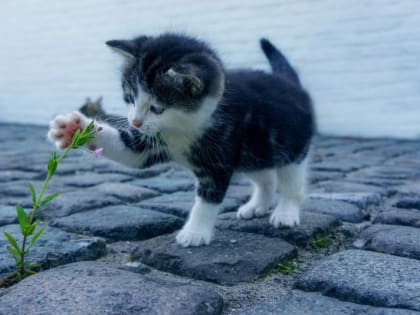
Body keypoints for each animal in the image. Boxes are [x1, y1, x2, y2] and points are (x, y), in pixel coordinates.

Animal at [47, 33, 314, 248]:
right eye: (130, 97)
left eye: (157, 108)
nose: (135, 122)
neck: (184, 126)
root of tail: (291, 83)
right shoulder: (151, 142)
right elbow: (129, 151)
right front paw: (73, 128)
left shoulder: (219, 155)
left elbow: (208, 197)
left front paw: (194, 233)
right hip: (254, 152)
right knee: (265, 177)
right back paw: (257, 205)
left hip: (290, 146)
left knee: (291, 182)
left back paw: (286, 213)